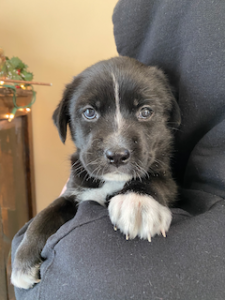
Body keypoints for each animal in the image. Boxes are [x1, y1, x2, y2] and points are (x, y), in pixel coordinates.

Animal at [11, 55, 181, 288]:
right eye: (89, 112)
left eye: (145, 112)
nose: (117, 155)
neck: (111, 181)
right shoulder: (74, 192)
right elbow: (46, 214)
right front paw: (24, 261)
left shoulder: (166, 177)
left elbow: (154, 180)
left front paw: (138, 202)